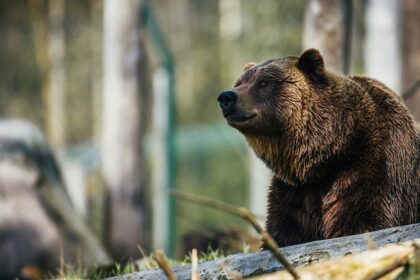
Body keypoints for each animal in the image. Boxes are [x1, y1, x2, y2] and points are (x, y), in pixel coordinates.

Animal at [218, 49, 418, 246]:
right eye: (239, 82)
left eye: (263, 82)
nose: (227, 96)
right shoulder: (295, 192)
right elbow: (284, 231)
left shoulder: (373, 166)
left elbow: (361, 221)